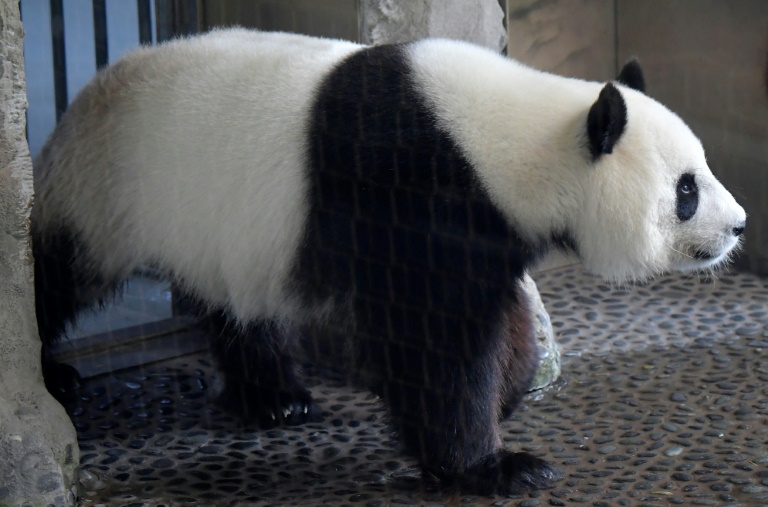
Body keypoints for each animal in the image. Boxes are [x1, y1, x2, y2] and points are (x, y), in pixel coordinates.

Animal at [33, 28, 748, 496]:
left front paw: (511, 390)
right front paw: (496, 466)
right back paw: (56, 375)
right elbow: (435, 346)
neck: (516, 141)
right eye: (686, 190)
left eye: (703, 168)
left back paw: (274, 397)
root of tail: (90, 88)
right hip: (108, 189)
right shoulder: (412, 196)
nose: (740, 226)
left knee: (235, 305)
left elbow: (496, 315)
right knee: (57, 272)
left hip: (216, 225)